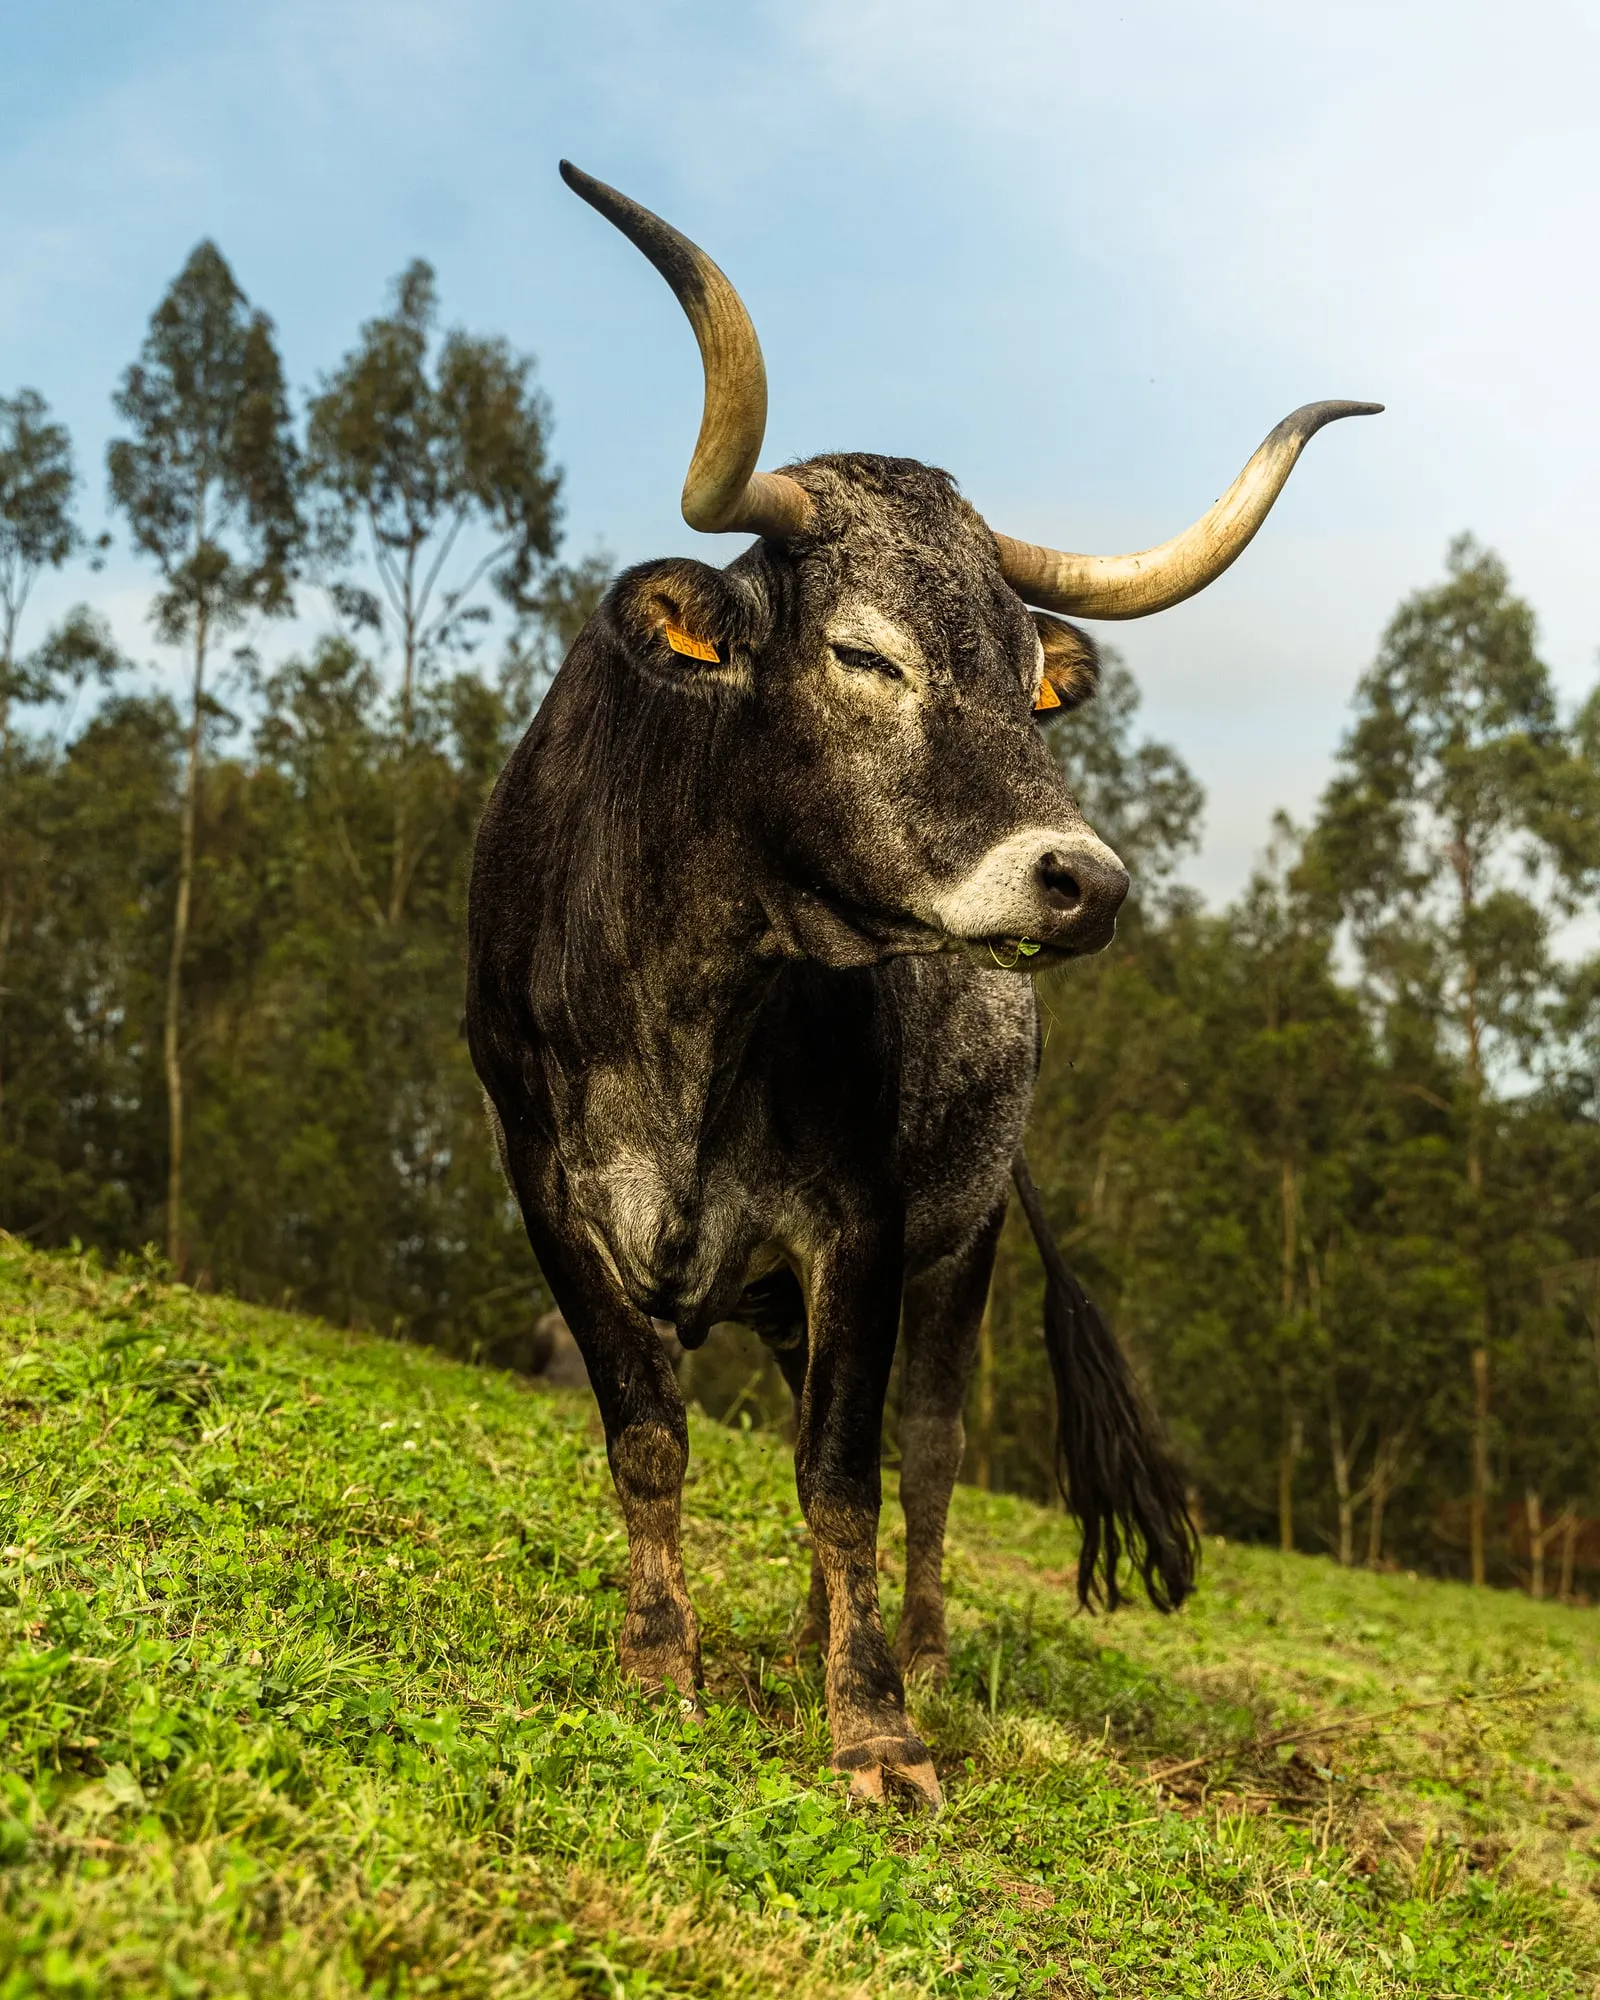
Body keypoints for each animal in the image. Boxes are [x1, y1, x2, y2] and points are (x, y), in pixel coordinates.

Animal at [466, 162, 1379, 1806]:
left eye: (1027, 676)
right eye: (864, 654)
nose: (1087, 881)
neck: (689, 999)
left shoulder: (868, 1227)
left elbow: (845, 1473)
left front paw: (879, 1724)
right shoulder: (546, 1189)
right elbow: (648, 1438)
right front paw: (658, 1665)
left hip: (963, 1251)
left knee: (931, 1451)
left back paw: (924, 1648)